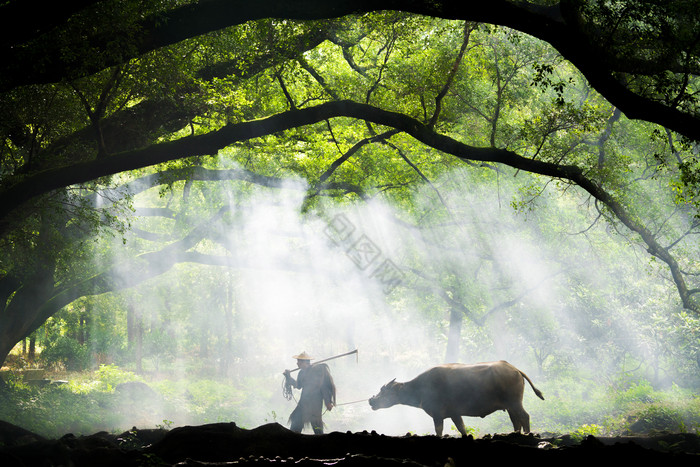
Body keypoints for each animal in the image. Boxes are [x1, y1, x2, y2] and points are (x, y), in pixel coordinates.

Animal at [370, 362, 544, 436]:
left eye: (384, 391)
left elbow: (439, 430)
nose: (371, 400)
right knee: (516, 421)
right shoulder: (455, 413)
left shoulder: (438, 414)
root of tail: (515, 369)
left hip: (515, 402)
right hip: (509, 406)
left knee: (524, 417)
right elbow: (462, 428)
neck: (421, 387)